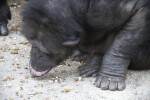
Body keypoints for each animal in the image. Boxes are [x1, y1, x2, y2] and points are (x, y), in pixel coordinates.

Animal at [20, 0, 150, 90]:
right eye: (32, 43)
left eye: (45, 52)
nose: (36, 54)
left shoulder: (112, 9)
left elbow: (129, 34)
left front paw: (110, 76)